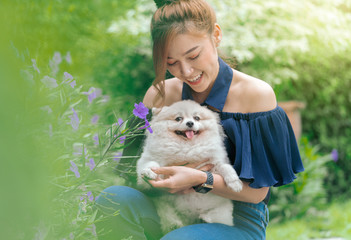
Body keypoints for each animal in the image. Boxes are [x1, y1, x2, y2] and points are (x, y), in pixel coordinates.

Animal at [136, 100, 243, 232]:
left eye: (196, 118)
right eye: (178, 118)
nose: (190, 123)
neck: (187, 147)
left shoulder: (213, 164)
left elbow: (225, 167)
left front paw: (235, 183)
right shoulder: (152, 159)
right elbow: (151, 164)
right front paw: (149, 172)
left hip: (221, 211)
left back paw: (206, 219)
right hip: (164, 206)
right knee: (168, 216)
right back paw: (175, 223)